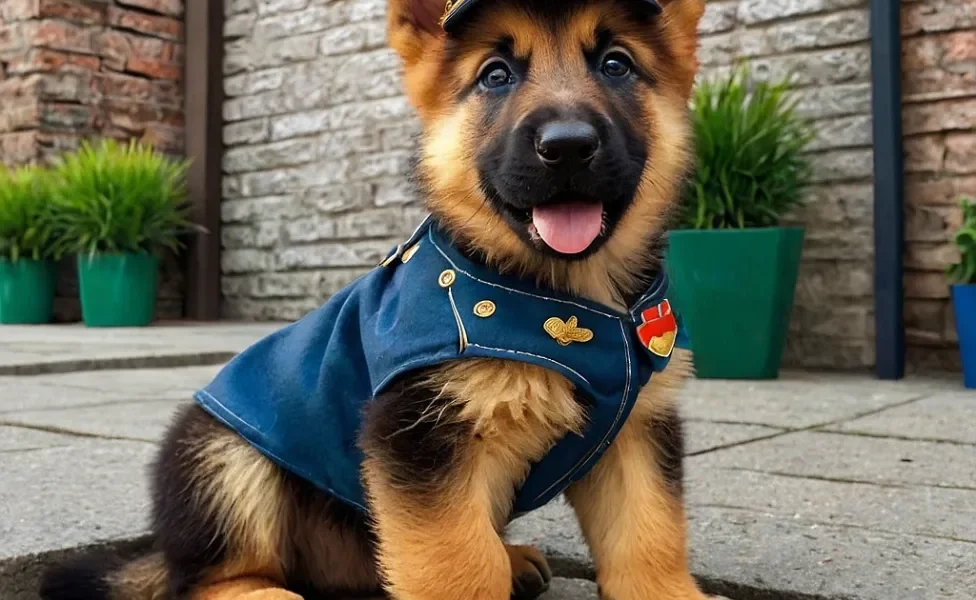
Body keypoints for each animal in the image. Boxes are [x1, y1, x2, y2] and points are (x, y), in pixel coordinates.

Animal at [43, 0, 708, 596]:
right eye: (496, 75)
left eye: (617, 65)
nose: (567, 145)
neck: (566, 304)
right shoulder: (419, 433)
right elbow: (459, 565)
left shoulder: (635, 432)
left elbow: (649, 536)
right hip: (225, 460)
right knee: (209, 577)